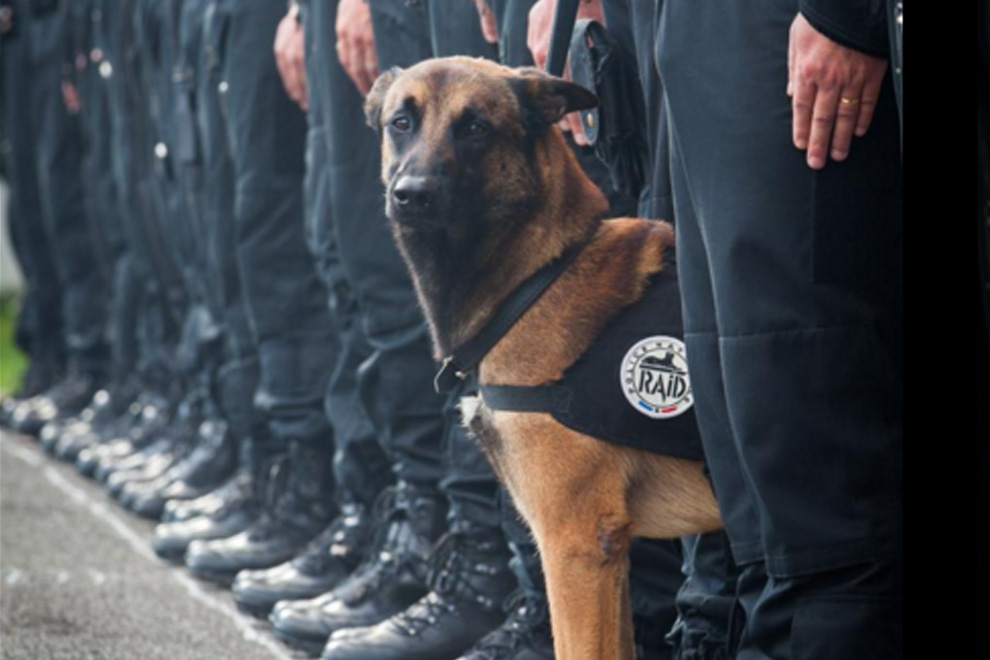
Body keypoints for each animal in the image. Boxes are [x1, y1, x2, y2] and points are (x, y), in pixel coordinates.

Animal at [368, 56, 724, 660]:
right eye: (401, 123)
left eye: (475, 127)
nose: (411, 195)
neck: (538, 278)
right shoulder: (609, 555)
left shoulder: (573, 545)